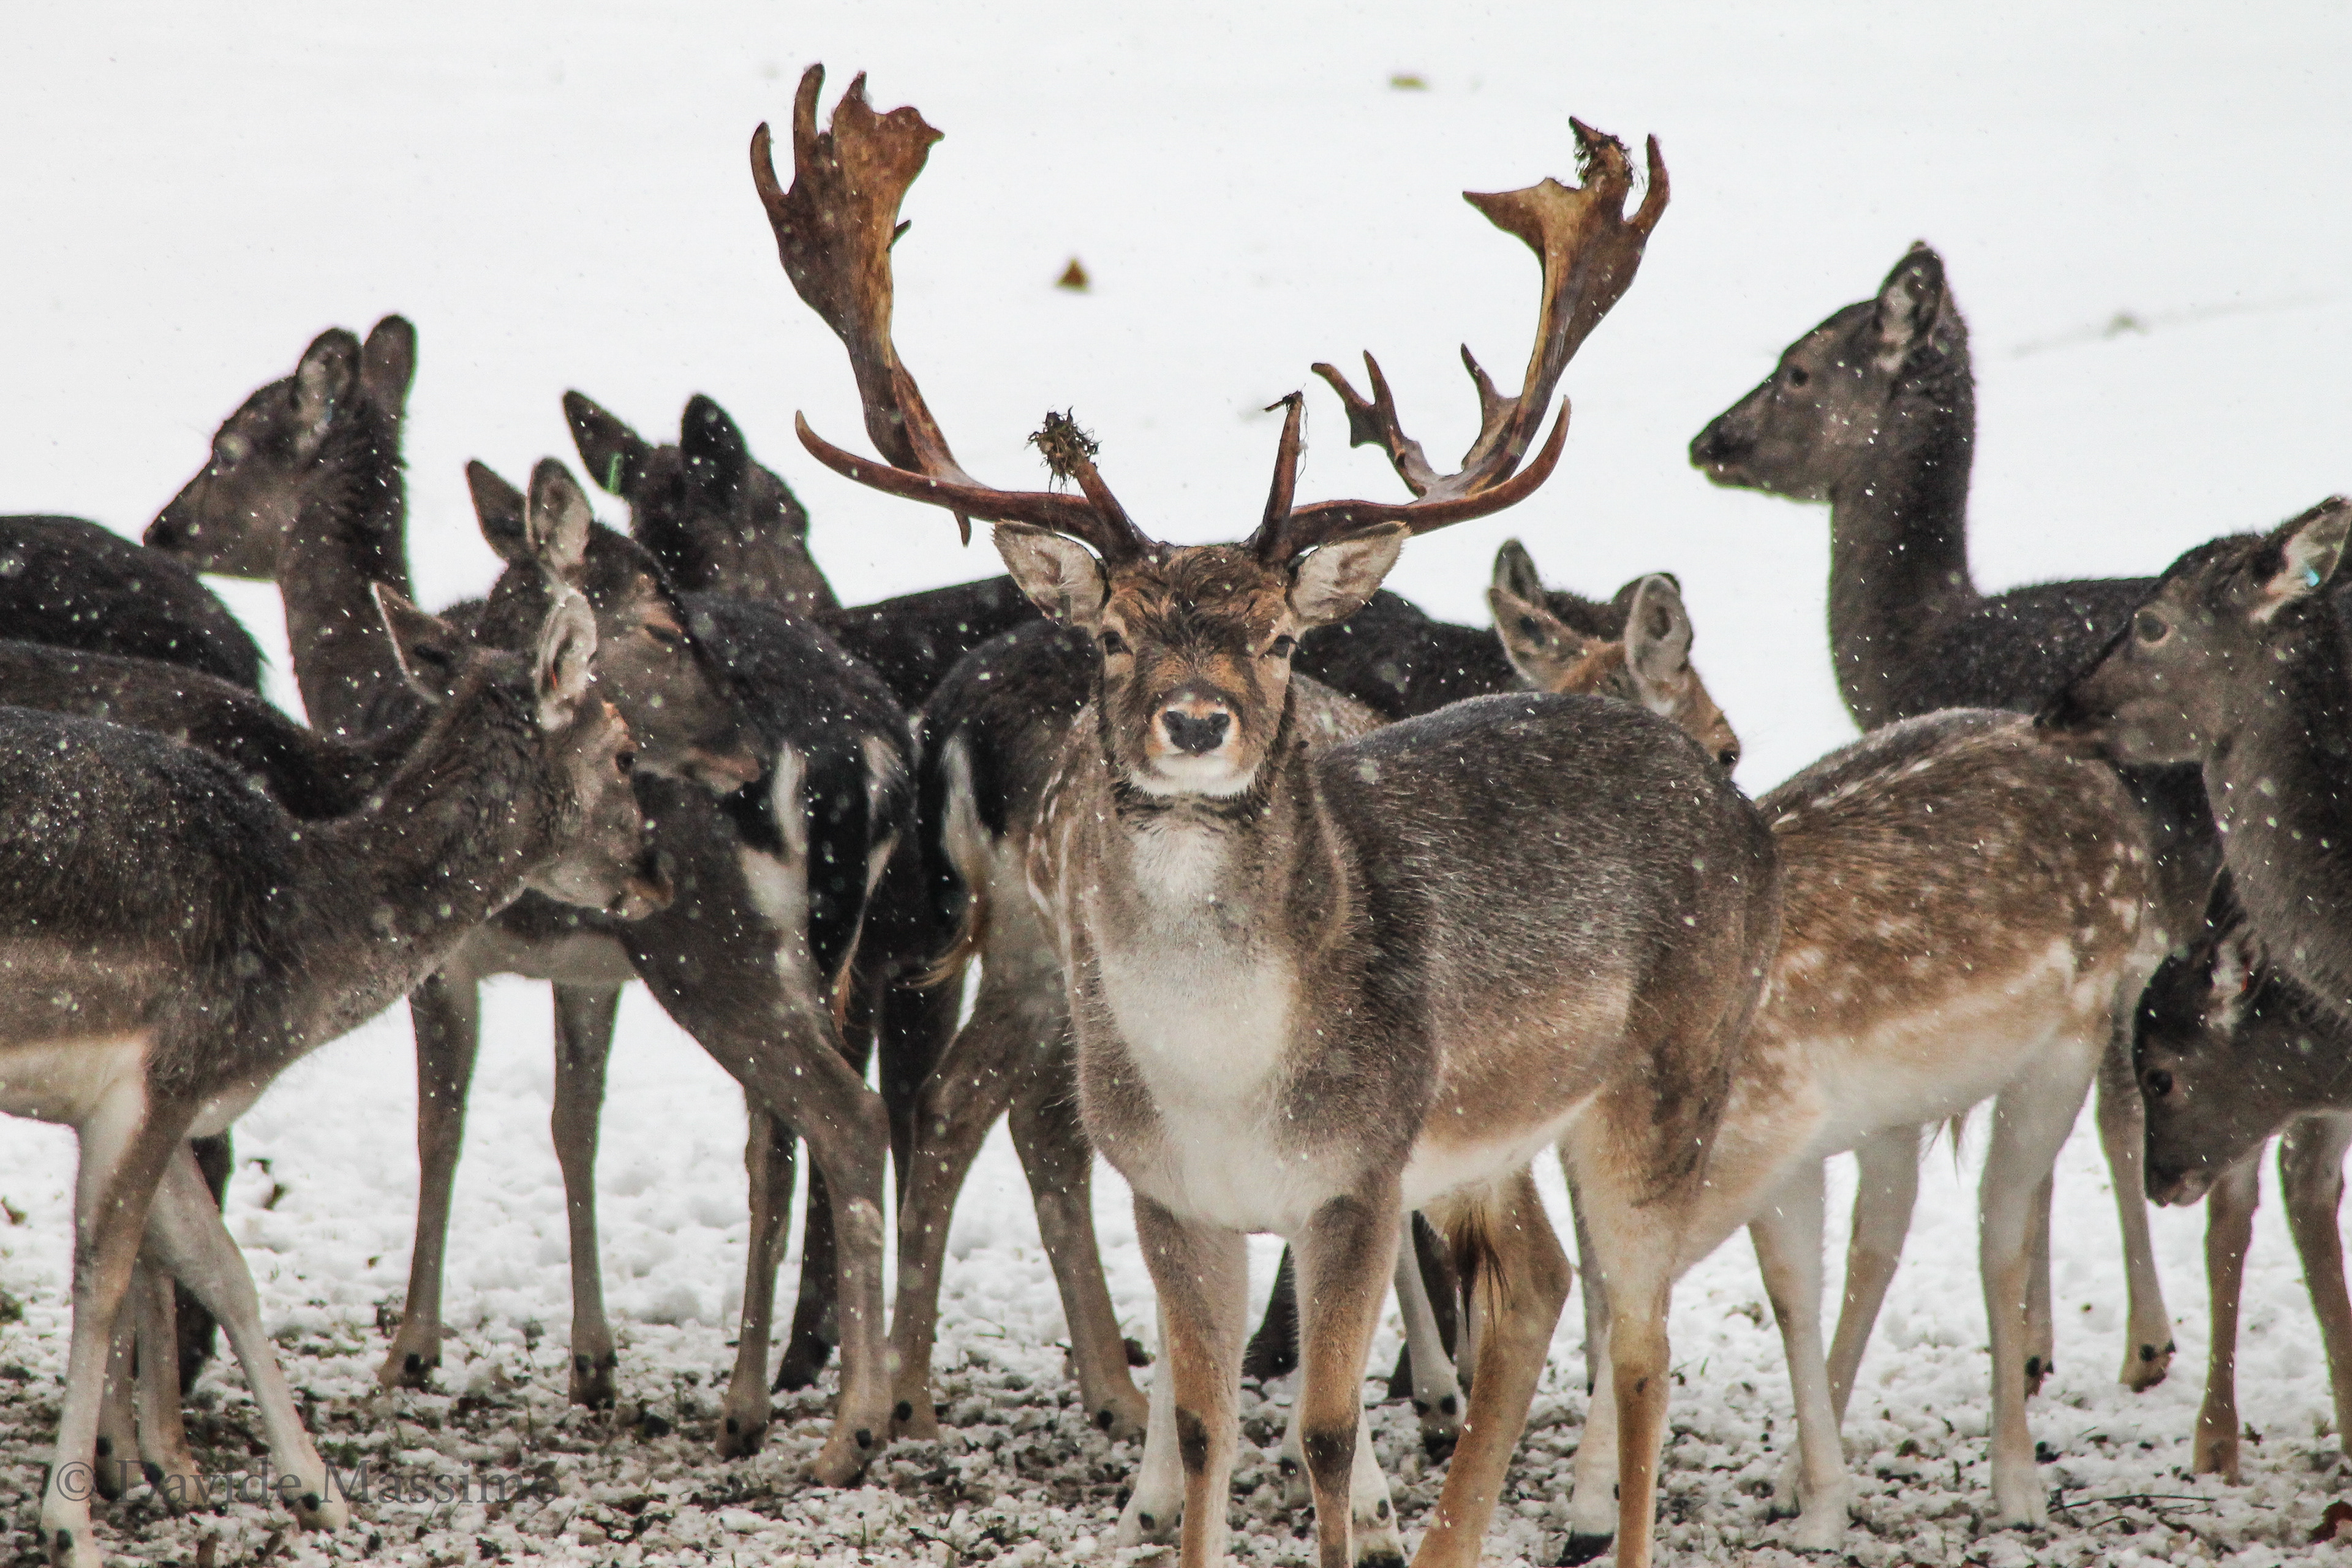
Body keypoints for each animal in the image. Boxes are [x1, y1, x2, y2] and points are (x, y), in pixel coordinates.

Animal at [8, 581, 661, 1568]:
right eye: (625, 751)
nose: (657, 880)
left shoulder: (141, 1098)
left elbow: (224, 1267)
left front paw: (322, 1495)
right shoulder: (170, 1070)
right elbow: (106, 1273)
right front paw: (70, 1525)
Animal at [145, 334, 914, 1478]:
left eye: (229, 444)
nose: (163, 528)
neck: (364, 703)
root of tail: (859, 753)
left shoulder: (442, 955)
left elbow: (442, 1125)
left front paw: (411, 1350)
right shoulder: (588, 971)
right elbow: (572, 1122)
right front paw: (592, 1362)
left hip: (710, 944)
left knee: (844, 1119)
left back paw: (846, 1428)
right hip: (823, 953)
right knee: (780, 1143)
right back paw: (765, 1400)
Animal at [758, 66, 1783, 1568]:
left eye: (1284, 637)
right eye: (1115, 634)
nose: (1197, 722)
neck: (1226, 1076)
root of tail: (1734, 808)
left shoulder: (1356, 1178)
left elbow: (1325, 1430)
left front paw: (1361, 1512)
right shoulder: (1175, 1186)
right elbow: (1204, 1429)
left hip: (1662, 1077)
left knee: (1642, 1334)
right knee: (1539, 1285)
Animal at [1690, 243, 2200, 1391]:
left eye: (1797, 367)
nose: (1708, 438)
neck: (1922, 653)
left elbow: (2110, 1114)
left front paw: (2123, 1344)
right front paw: (2060, 1340)